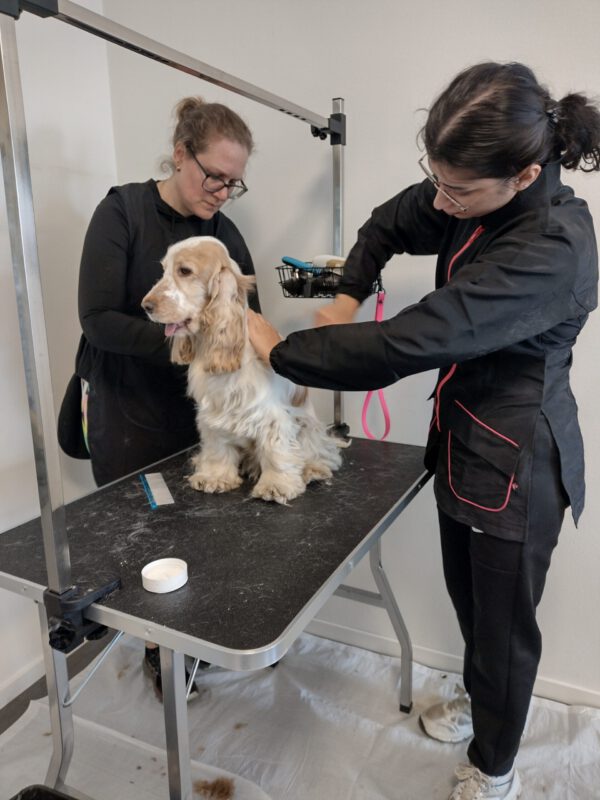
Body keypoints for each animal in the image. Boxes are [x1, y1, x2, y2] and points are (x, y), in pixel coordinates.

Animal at [142, 234, 344, 504]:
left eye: (184, 271)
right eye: (164, 270)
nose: (146, 305)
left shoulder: (273, 417)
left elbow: (276, 451)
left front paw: (276, 485)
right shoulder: (213, 415)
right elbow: (218, 447)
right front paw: (215, 477)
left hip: (309, 427)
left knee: (322, 452)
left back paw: (312, 469)